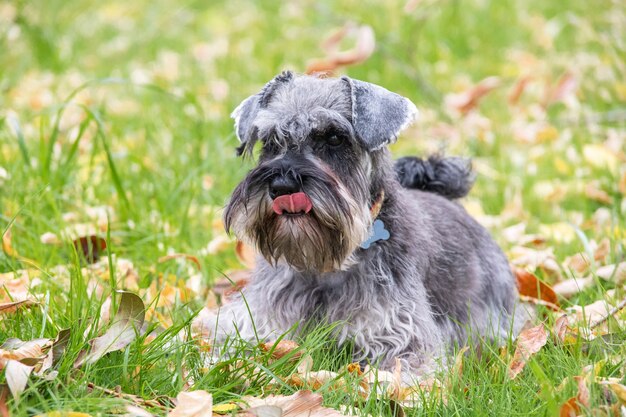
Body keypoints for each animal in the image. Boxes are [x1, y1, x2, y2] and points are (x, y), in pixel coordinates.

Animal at [204, 70, 516, 370]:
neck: (324, 267)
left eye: (334, 137)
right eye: (270, 141)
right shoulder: (254, 322)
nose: (282, 186)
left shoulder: (402, 339)